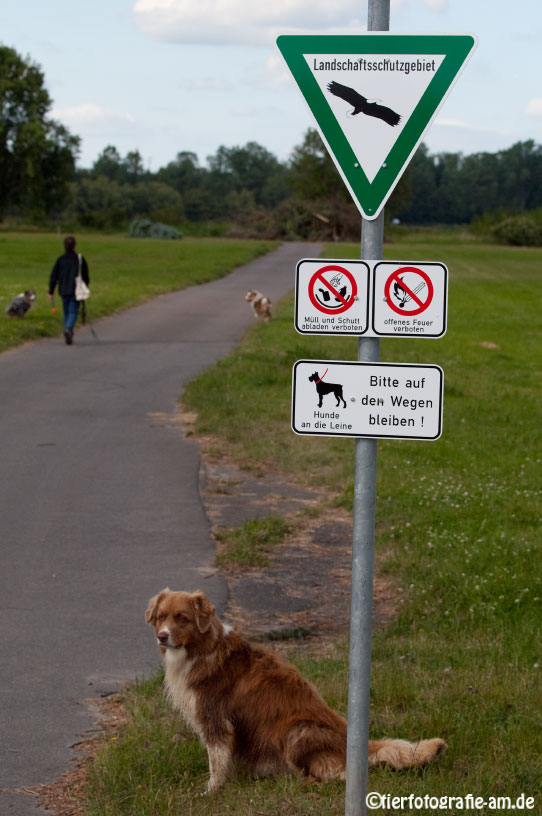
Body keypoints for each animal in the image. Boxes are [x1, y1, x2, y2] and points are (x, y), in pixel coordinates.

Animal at [147, 588, 448, 792]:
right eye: (161, 617)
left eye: (182, 618)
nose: (161, 636)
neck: (203, 650)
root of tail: (356, 739)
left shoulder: (216, 719)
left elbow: (217, 761)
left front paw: (211, 791)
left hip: (296, 731)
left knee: (335, 773)